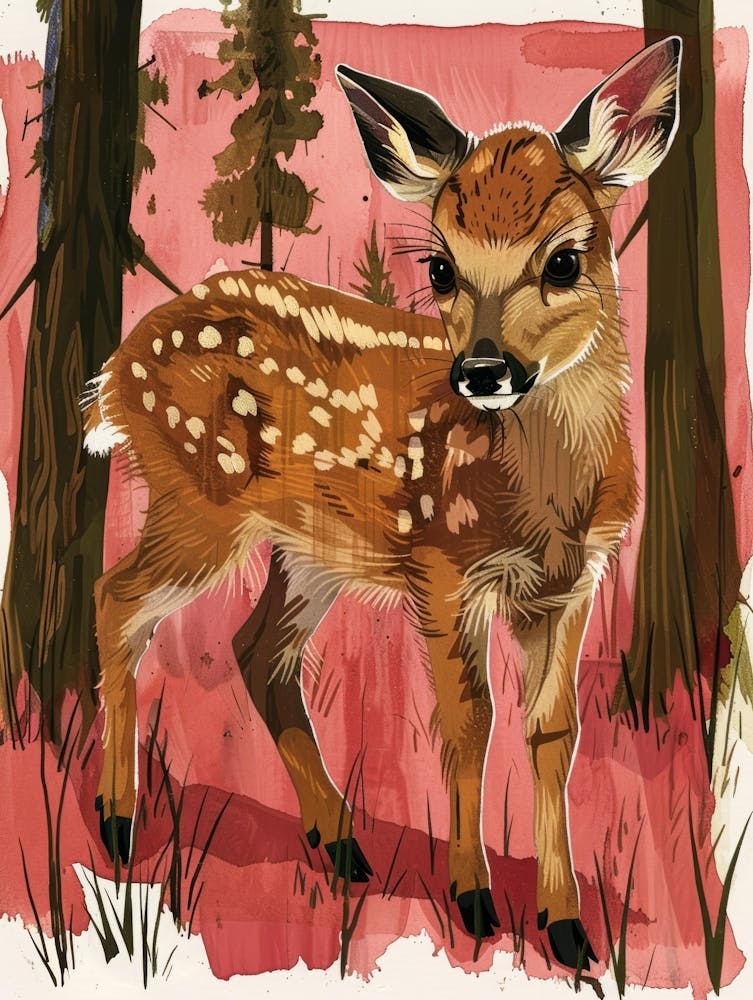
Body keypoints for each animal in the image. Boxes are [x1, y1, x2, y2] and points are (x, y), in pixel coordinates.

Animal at [84, 38, 681, 969]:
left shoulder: (573, 584)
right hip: (199, 500)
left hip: (310, 548)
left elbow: (552, 734)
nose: (482, 371)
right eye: (440, 266)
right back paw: (118, 821)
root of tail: (117, 368)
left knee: (255, 649)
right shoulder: (444, 569)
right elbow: (469, 722)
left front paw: (568, 925)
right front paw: (473, 899)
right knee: (117, 598)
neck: (544, 504)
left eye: (563, 260)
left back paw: (340, 840)